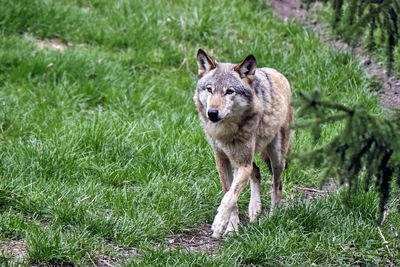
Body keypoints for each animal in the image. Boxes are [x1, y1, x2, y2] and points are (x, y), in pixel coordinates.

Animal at [194, 49, 294, 240]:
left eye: (229, 91)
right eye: (209, 89)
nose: (212, 113)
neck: (226, 131)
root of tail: (275, 72)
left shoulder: (242, 164)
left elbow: (229, 197)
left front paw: (219, 223)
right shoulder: (222, 159)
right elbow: (230, 194)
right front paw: (232, 228)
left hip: (276, 158)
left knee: (276, 184)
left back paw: (273, 216)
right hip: (244, 158)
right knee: (257, 171)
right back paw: (254, 209)